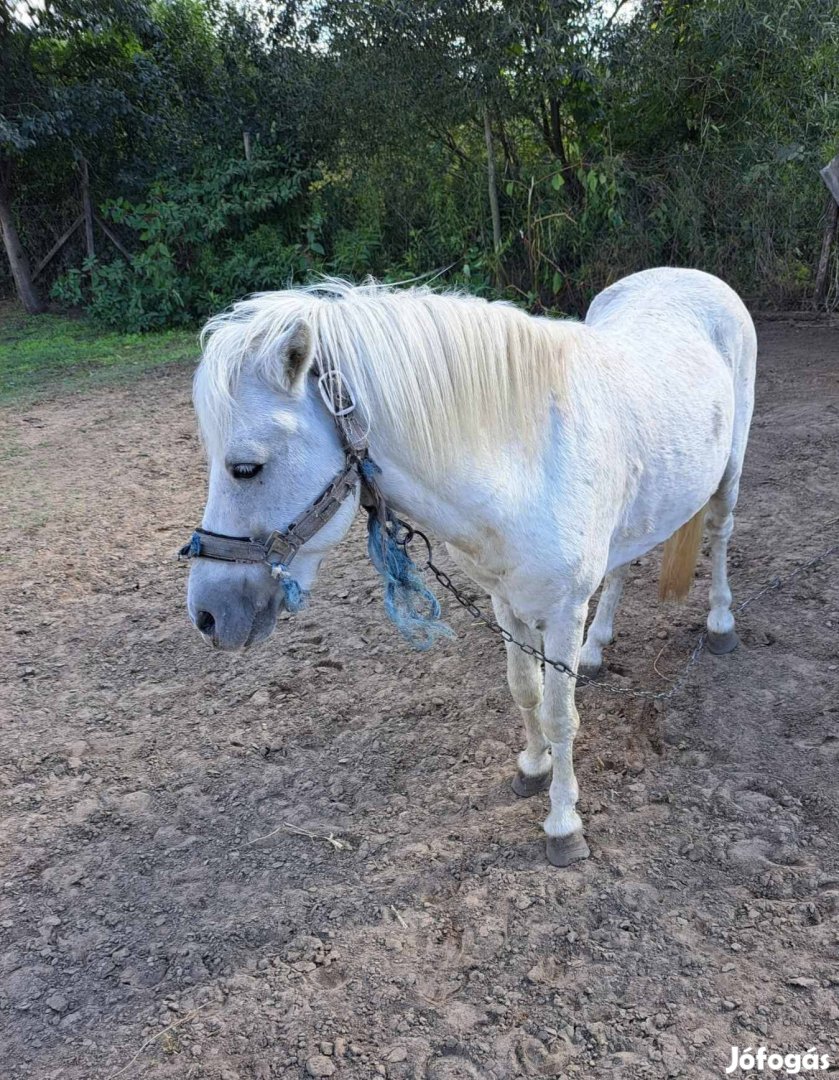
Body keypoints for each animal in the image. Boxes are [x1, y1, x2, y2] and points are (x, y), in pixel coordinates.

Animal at [186, 270, 755, 868]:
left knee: (720, 535)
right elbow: (525, 689)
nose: (207, 614)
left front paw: (563, 824)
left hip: (729, 474)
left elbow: (560, 716)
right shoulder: (505, 602)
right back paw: (597, 649)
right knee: (622, 567)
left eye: (245, 468)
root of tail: (691, 277)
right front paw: (532, 768)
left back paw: (721, 625)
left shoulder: (562, 611)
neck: (528, 465)